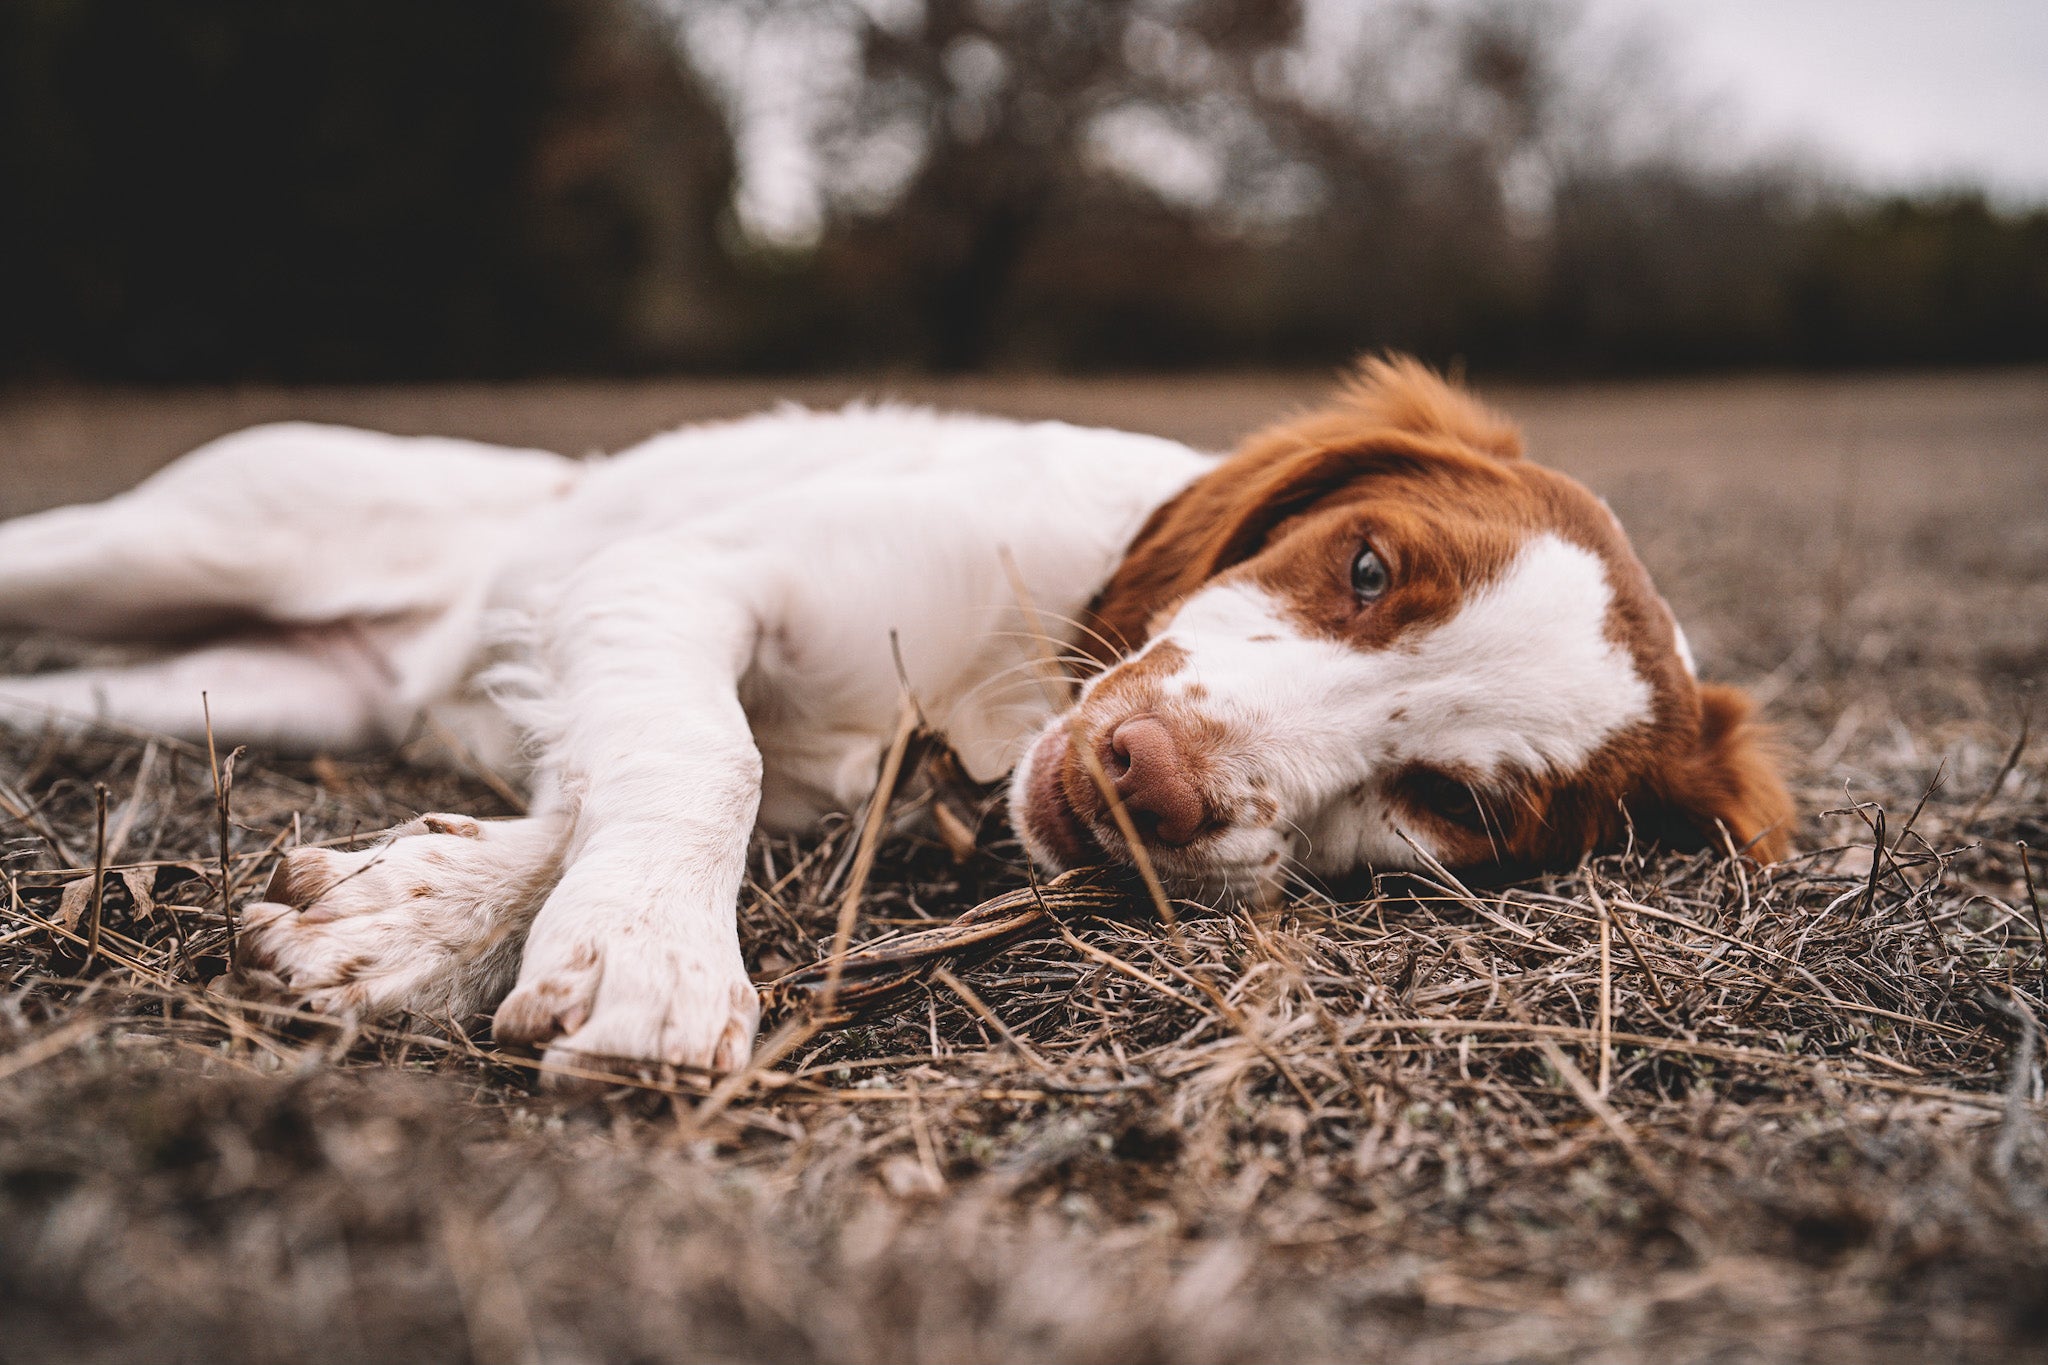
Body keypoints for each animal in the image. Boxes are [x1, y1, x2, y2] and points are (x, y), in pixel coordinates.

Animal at [0, 360, 1794, 1080]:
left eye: (1455, 809)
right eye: (1365, 567)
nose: (1145, 781)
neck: (1005, 700)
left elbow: (596, 792)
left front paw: (423, 914)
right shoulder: (686, 570)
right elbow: (697, 750)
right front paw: (649, 957)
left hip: (237, 681)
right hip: (172, 542)